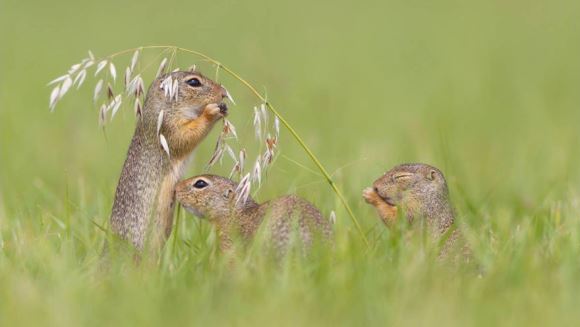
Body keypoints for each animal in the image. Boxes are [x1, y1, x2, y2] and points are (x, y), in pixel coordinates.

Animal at [109, 71, 229, 251]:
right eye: (194, 82)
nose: (223, 93)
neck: (164, 107)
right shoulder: (168, 127)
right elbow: (186, 135)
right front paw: (211, 111)